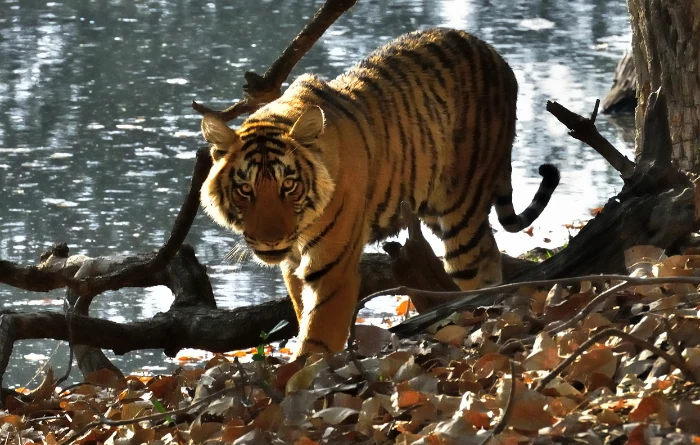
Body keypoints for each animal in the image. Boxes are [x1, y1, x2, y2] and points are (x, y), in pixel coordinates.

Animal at [199, 28, 560, 356]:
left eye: (288, 184)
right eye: (245, 189)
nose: (271, 241)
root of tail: (495, 54)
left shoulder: (332, 269)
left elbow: (316, 338)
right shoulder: (293, 266)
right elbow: (303, 315)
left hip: (463, 208)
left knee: (479, 264)